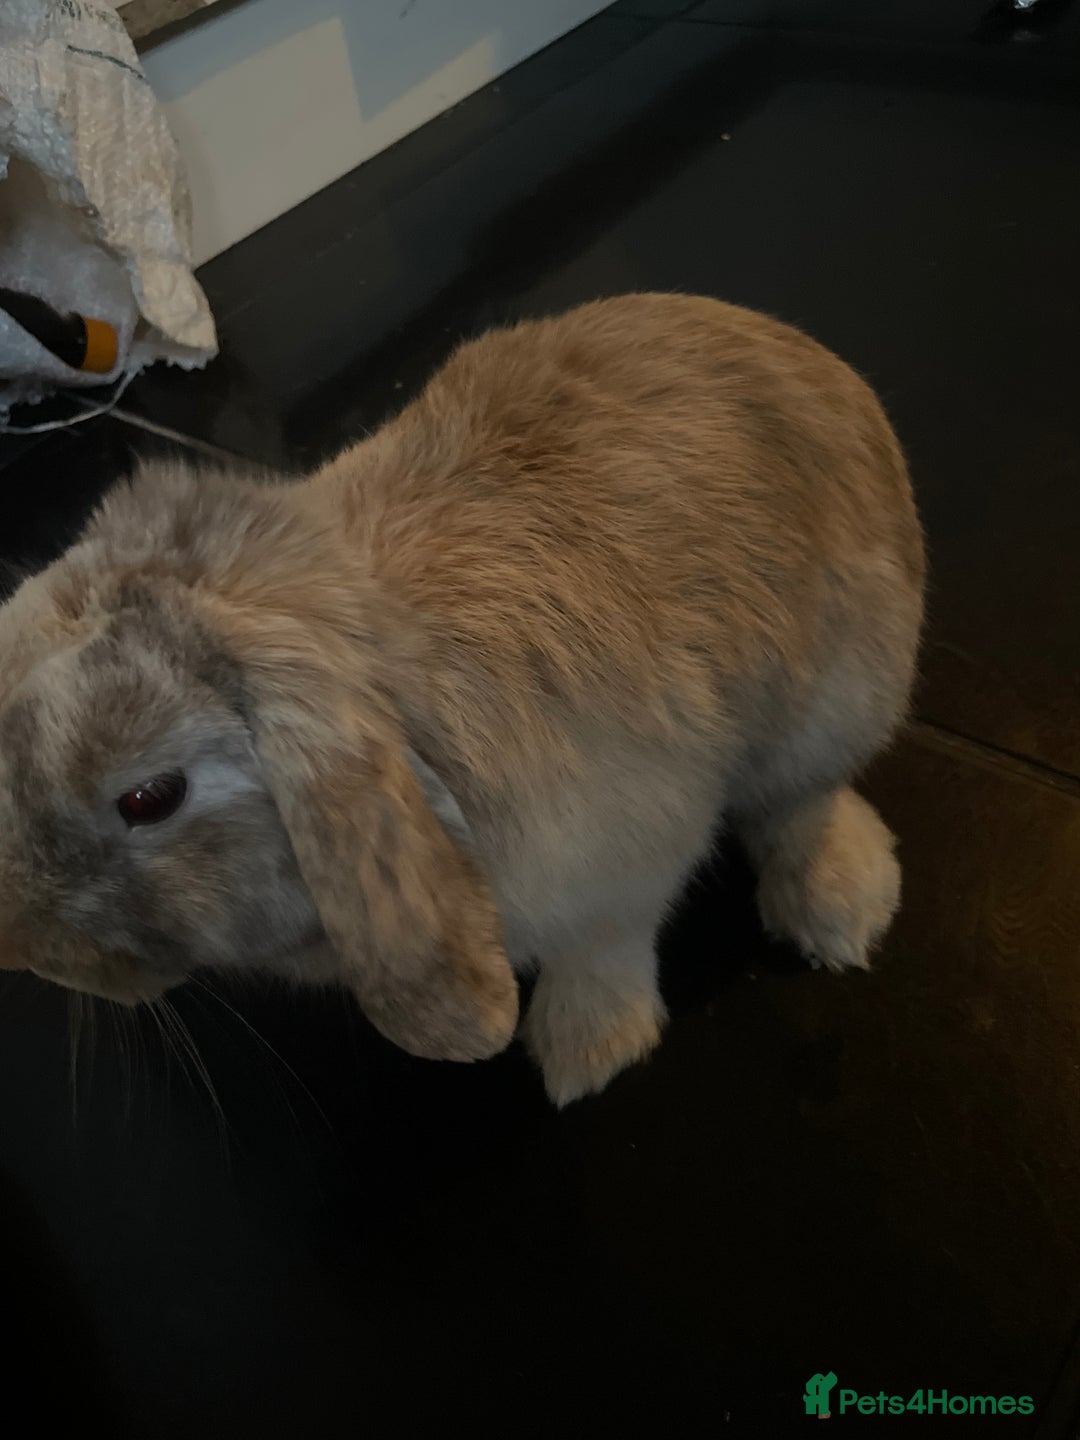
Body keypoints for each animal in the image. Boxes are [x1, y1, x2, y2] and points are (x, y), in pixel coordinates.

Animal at [0, 294, 924, 1106]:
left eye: (150, 798)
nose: (25, 955)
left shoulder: (629, 859)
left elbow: (607, 948)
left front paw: (581, 1053)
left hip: (837, 701)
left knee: (802, 805)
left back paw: (841, 913)